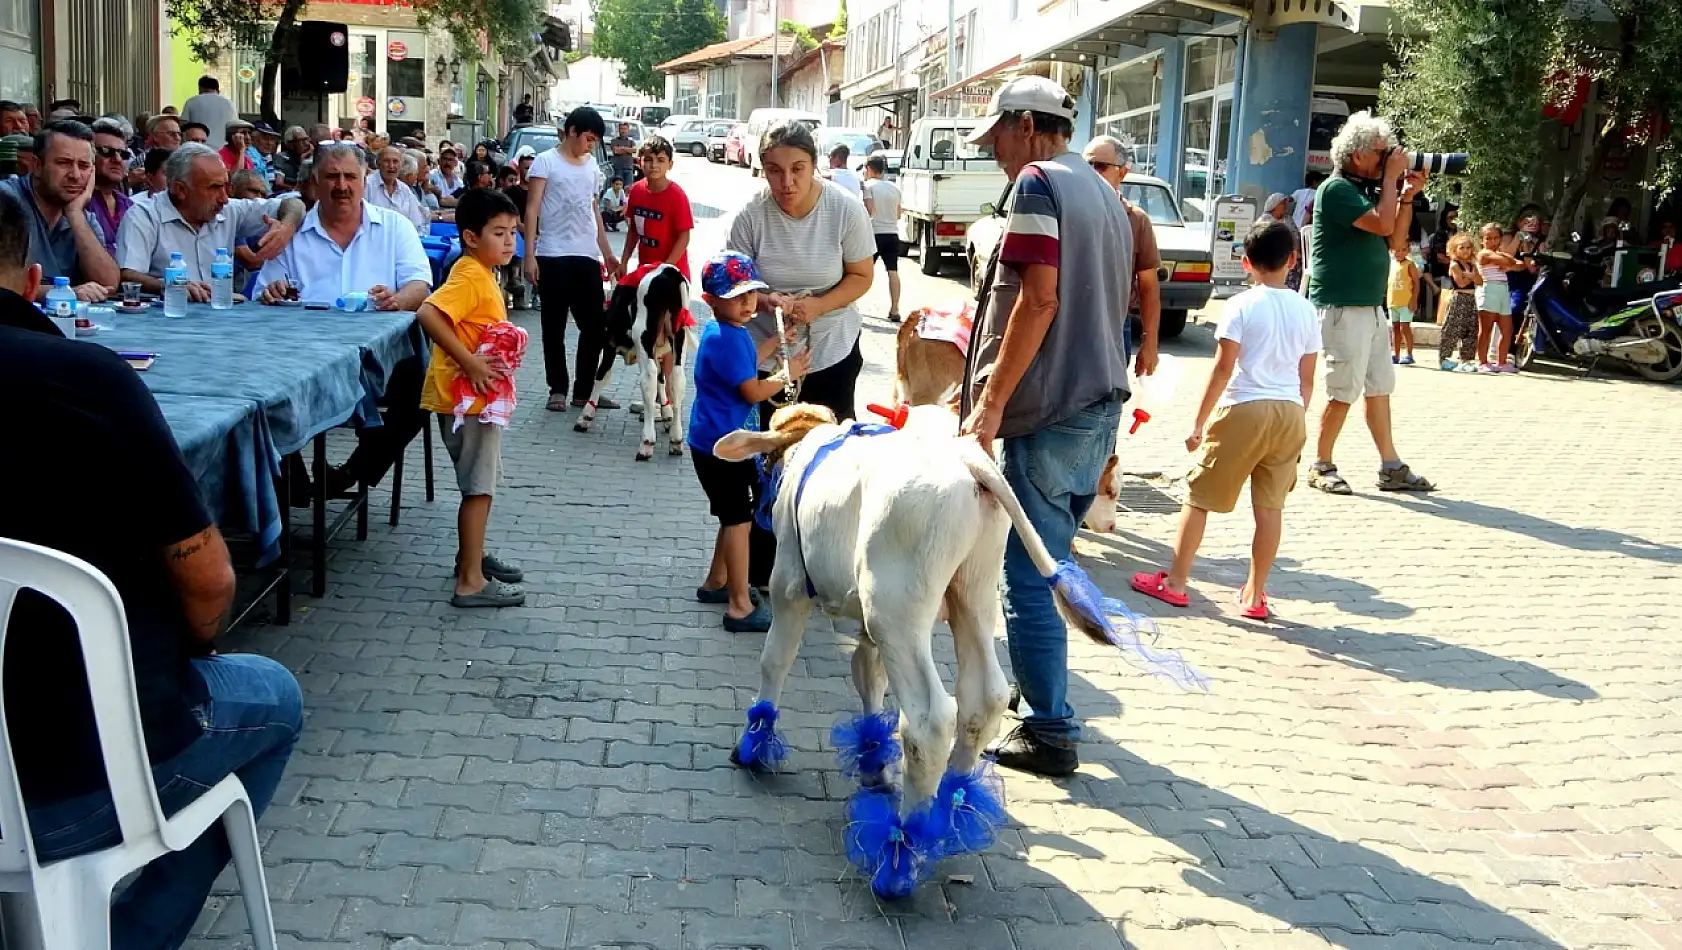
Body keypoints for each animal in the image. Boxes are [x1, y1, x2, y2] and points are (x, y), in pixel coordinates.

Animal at [571, 260, 689, 457]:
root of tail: (668, 271)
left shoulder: (609, 345)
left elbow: (601, 375)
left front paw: (585, 416)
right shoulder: (656, 351)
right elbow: (662, 380)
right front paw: (666, 415)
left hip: (643, 335)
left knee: (649, 378)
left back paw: (647, 443)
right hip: (679, 336)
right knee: (676, 378)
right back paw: (676, 440)